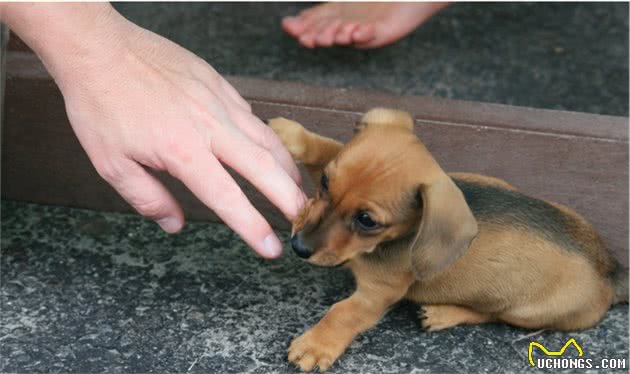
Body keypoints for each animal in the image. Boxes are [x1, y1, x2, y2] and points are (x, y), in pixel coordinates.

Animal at [266, 107, 628, 372]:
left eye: (367, 220)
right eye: (325, 183)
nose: (298, 246)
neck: (386, 243)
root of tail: (610, 271)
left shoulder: (376, 295)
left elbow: (342, 313)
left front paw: (316, 345)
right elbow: (325, 149)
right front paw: (288, 133)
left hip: (525, 312)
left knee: (491, 314)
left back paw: (443, 314)